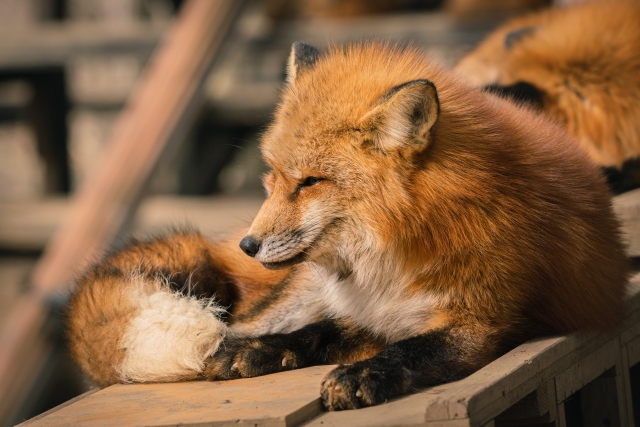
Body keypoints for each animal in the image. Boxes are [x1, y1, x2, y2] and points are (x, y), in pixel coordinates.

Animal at [67, 42, 628, 412]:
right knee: (241, 324)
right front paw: (265, 353)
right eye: (274, 178)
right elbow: (317, 333)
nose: (249, 244)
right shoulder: (365, 312)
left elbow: (410, 348)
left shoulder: (480, 322)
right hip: (289, 295)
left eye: (310, 182)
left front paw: (365, 376)